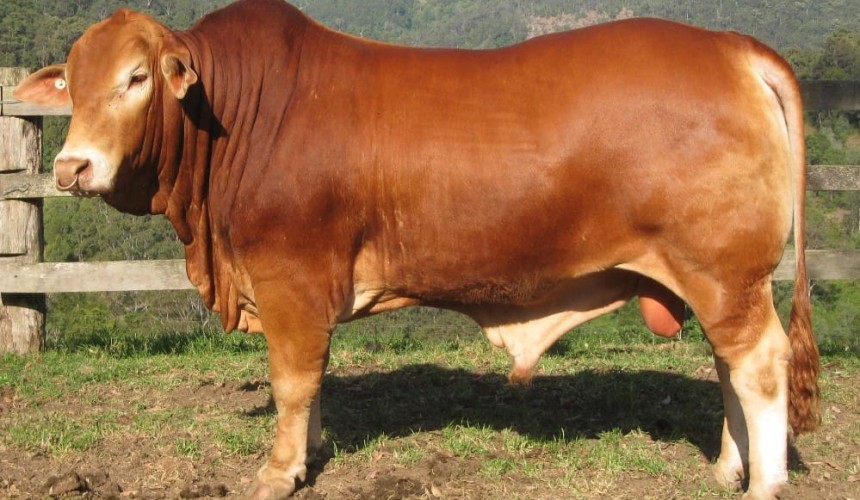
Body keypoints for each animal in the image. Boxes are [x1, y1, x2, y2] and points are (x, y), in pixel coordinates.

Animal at [13, 0, 820, 498]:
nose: (72, 167)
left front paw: (278, 471)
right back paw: (728, 469)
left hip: (724, 272)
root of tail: (731, 47)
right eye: (71, 84)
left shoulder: (290, 279)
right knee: (727, 365)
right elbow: (313, 384)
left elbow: (294, 381)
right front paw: (310, 454)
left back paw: (765, 481)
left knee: (758, 364)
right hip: (716, 279)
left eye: (136, 77)